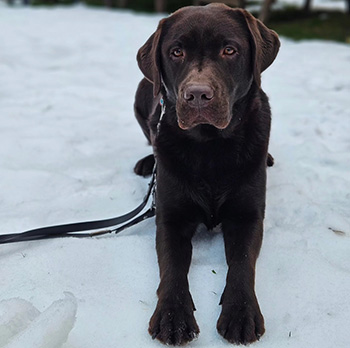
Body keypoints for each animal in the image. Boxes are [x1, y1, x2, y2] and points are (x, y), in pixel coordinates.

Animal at [133, 3, 278, 346]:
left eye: (229, 50)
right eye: (176, 52)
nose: (198, 95)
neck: (210, 147)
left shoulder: (248, 216)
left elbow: (242, 263)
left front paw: (241, 313)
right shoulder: (170, 218)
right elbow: (172, 266)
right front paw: (172, 316)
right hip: (143, 92)